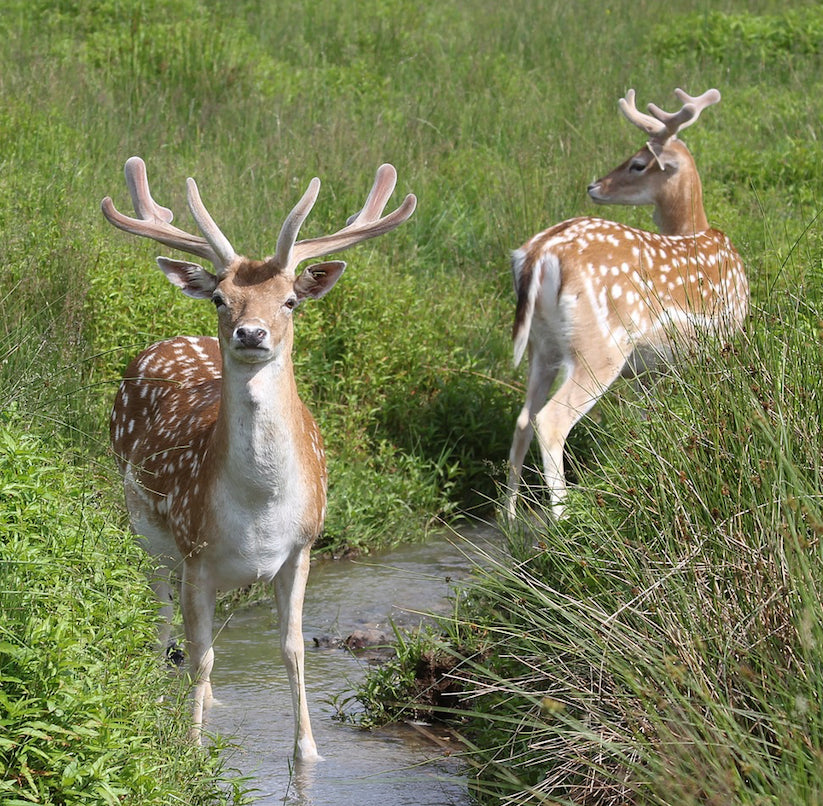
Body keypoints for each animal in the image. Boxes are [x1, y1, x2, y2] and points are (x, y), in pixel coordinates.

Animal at [102, 156, 416, 762]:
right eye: (221, 298)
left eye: (290, 299)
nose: (251, 332)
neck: (259, 509)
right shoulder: (195, 550)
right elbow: (199, 652)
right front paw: (193, 749)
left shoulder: (302, 548)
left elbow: (293, 650)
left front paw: (308, 752)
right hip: (147, 535)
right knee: (162, 622)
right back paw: (162, 698)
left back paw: (215, 704)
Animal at [506, 87, 749, 520]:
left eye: (637, 163)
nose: (594, 185)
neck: (698, 230)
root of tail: (537, 254)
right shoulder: (717, 345)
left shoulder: (652, 370)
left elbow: (650, 421)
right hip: (600, 346)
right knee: (551, 421)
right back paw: (564, 521)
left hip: (542, 345)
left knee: (523, 418)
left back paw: (511, 519)